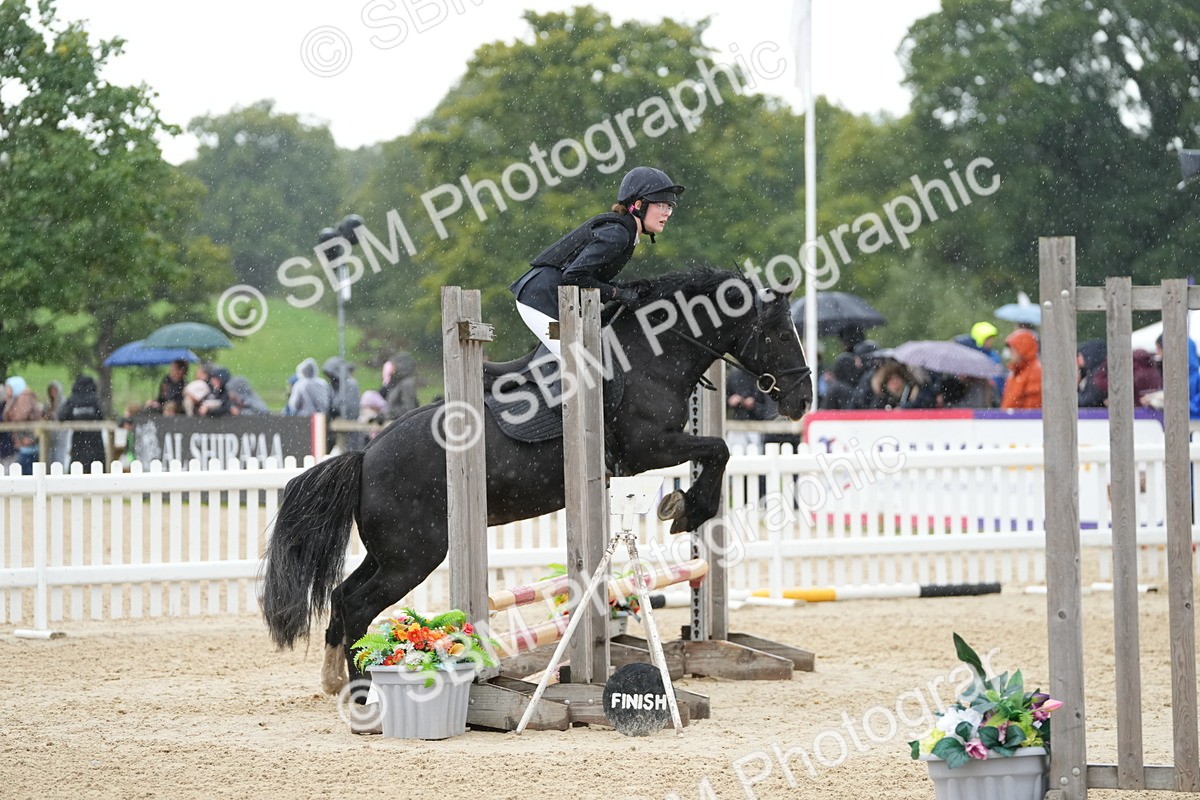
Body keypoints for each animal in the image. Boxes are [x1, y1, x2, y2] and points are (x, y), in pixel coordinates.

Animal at [261, 267, 813, 692]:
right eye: (781, 334)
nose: (802, 400)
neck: (653, 355)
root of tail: (365, 456)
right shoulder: (646, 447)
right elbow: (718, 449)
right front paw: (688, 508)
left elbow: (716, 451)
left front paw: (683, 506)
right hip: (414, 555)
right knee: (357, 605)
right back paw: (361, 689)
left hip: (391, 552)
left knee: (342, 599)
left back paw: (337, 679)